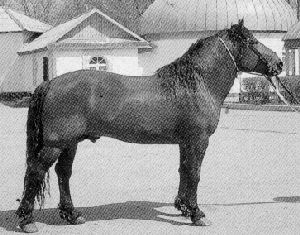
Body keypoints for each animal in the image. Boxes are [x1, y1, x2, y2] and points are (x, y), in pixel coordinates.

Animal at [16, 20, 284, 233]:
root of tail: (49, 83)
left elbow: (184, 171)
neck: (195, 84)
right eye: (252, 41)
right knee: (36, 171)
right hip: (56, 144)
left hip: (69, 144)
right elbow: (194, 174)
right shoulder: (198, 140)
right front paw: (197, 213)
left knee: (63, 173)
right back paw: (27, 220)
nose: (279, 63)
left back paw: (71, 214)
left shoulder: (185, 142)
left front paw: (183, 207)